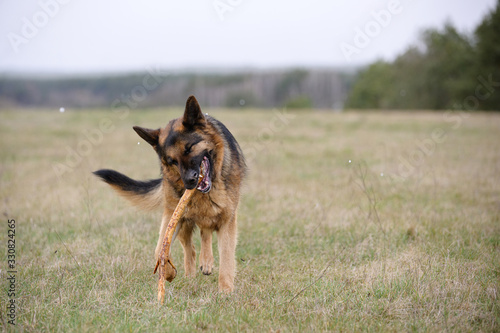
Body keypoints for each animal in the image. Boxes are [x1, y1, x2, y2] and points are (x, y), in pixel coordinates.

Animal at [94, 95, 246, 290]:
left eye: (189, 148)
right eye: (172, 161)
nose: (189, 181)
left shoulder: (227, 220)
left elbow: (227, 259)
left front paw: (225, 291)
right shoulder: (173, 215)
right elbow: (159, 249)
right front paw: (167, 271)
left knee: (205, 233)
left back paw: (206, 262)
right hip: (185, 223)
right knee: (191, 249)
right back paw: (191, 276)